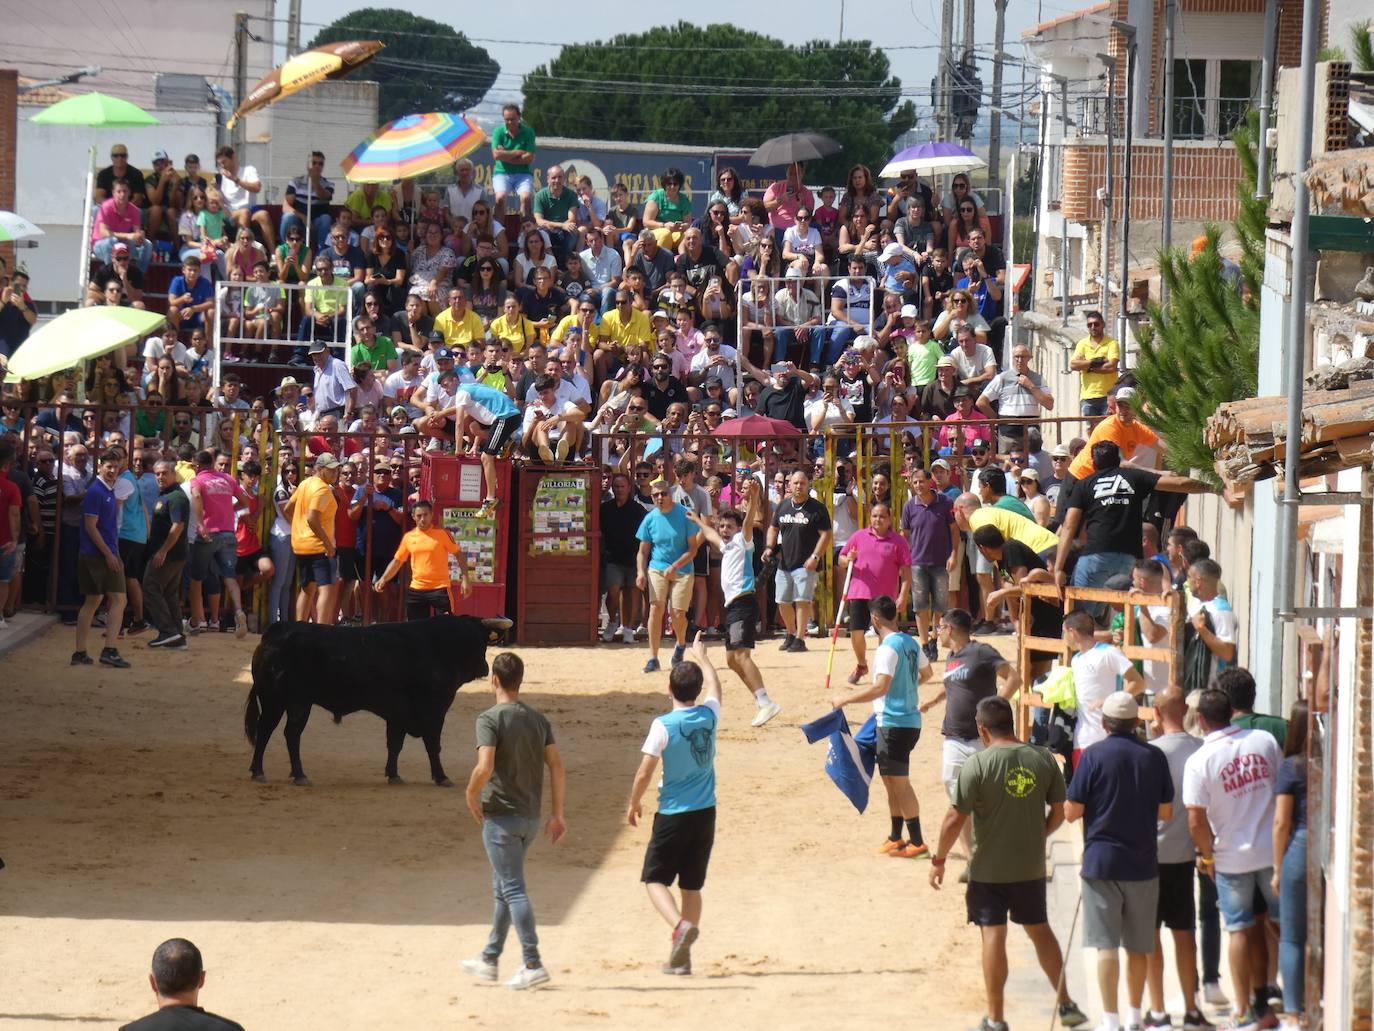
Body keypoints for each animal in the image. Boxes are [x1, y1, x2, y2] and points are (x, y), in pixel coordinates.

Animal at [244, 613, 513, 791]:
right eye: (479, 640)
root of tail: (274, 632)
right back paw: (270, 773)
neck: (440, 645)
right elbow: (432, 744)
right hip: (280, 701)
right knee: (274, 731)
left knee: (281, 732)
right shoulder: (433, 710)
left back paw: (286, 773)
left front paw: (394, 775)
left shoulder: (399, 713)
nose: (485, 667)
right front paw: (441, 777)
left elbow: (394, 744)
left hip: (291, 702)